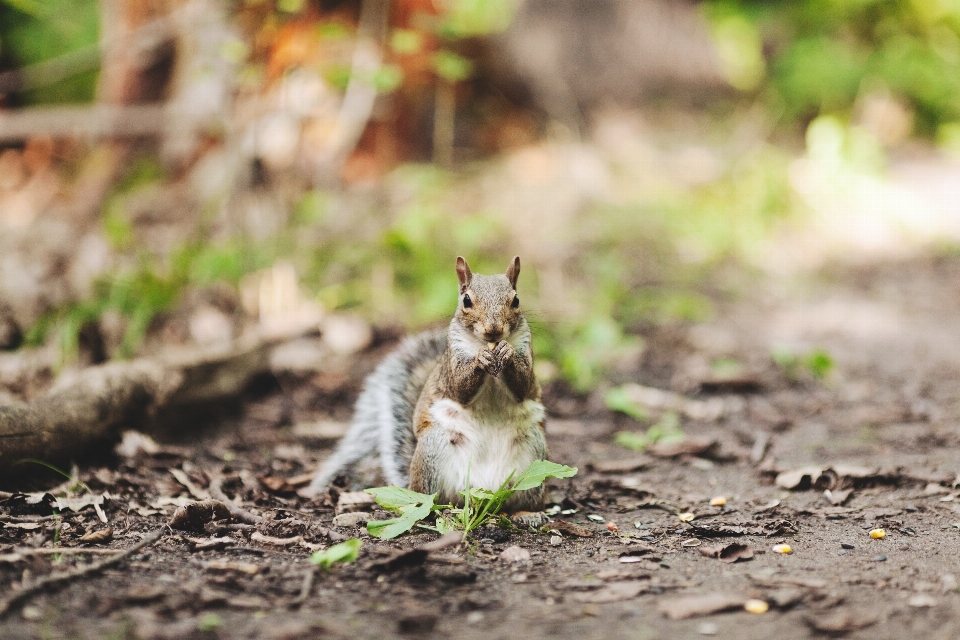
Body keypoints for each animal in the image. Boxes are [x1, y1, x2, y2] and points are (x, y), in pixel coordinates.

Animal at [308, 255, 548, 510]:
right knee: (433, 498)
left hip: (535, 456)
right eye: (466, 300)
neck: (486, 345)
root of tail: (484, 492)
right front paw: (480, 359)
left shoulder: (525, 349)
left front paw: (506, 352)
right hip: (432, 452)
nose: (493, 330)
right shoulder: (451, 363)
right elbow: (459, 386)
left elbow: (524, 385)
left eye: (516, 300)